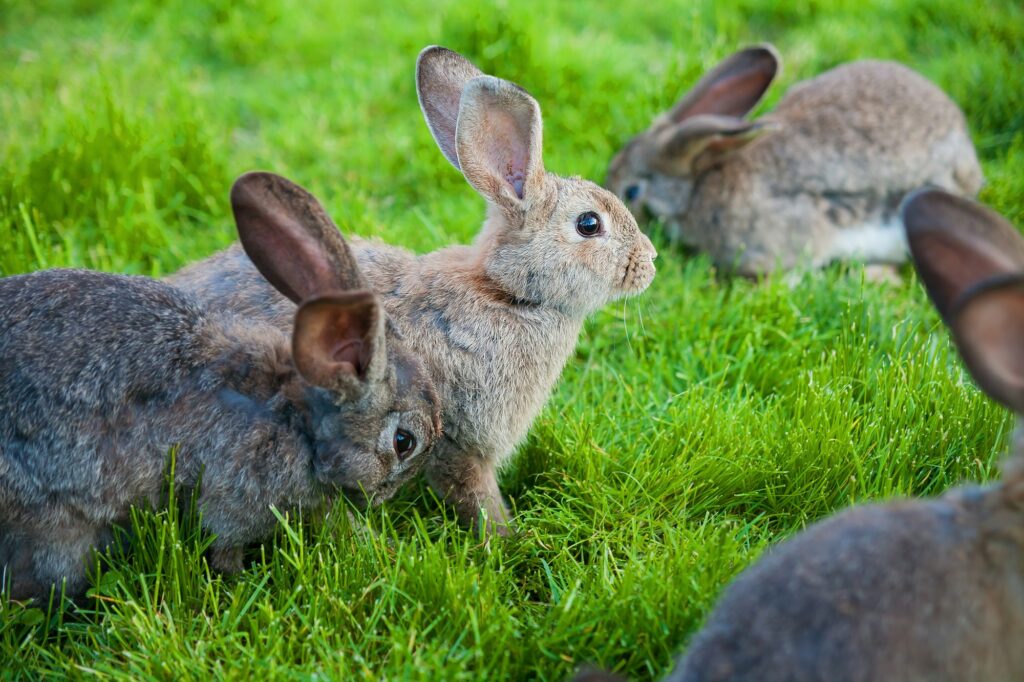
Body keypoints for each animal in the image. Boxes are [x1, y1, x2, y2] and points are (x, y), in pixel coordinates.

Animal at [0, 172, 441, 602]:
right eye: (404, 442)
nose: (381, 497)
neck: (296, 419)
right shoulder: (232, 500)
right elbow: (224, 544)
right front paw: (242, 584)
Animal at [170, 46, 658, 535]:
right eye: (589, 224)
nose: (650, 262)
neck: (507, 292)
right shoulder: (457, 441)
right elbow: (474, 494)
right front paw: (506, 537)